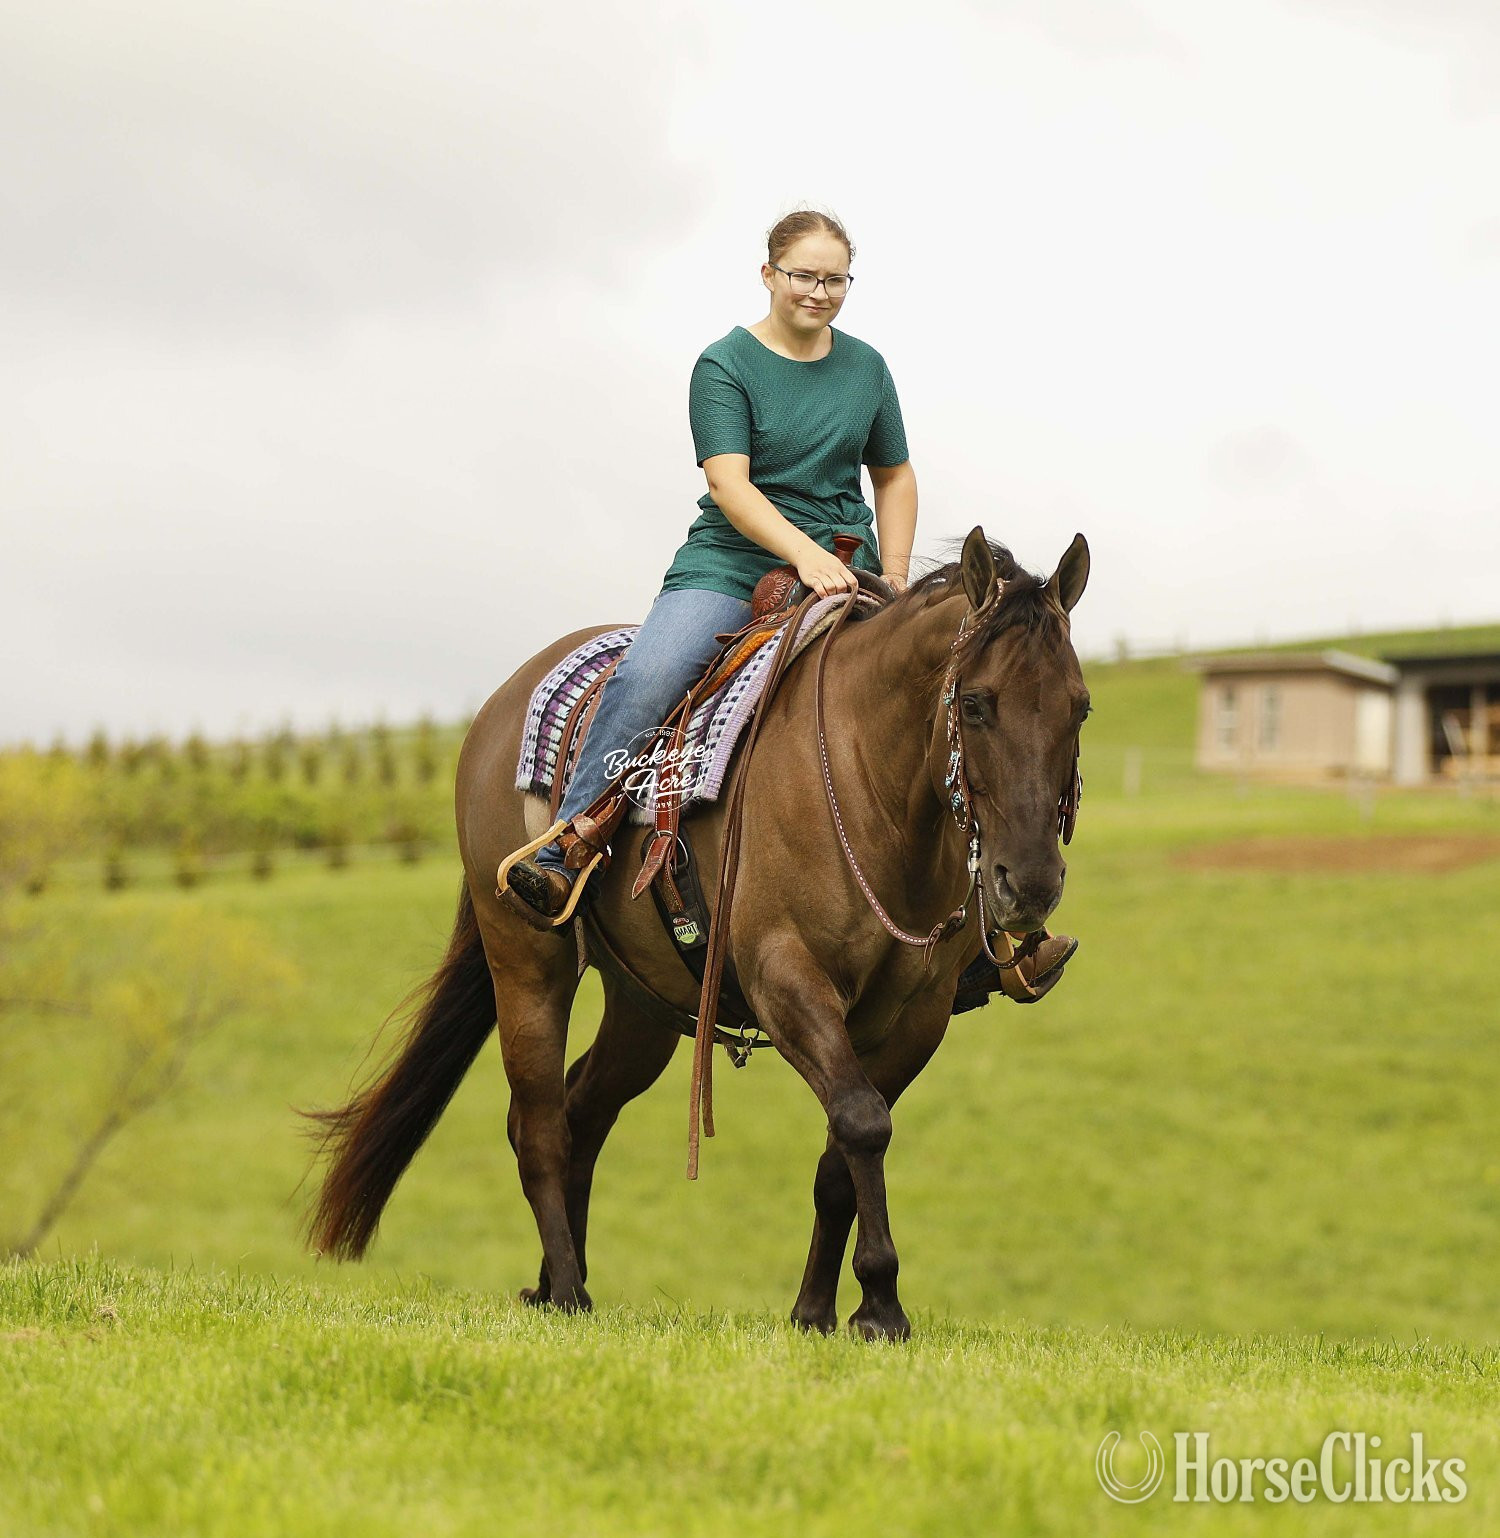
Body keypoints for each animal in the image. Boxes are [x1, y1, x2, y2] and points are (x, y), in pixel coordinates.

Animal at [304, 526, 1090, 1340]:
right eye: (975, 702)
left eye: (1081, 708)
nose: (1030, 884)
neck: (870, 785)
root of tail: (497, 709)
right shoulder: (785, 980)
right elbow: (864, 1122)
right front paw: (881, 1303)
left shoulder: (919, 1016)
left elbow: (841, 1155)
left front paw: (818, 1312)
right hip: (527, 962)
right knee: (541, 1124)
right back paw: (571, 1292)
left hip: (643, 1008)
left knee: (583, 1110)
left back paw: (557, 1283)